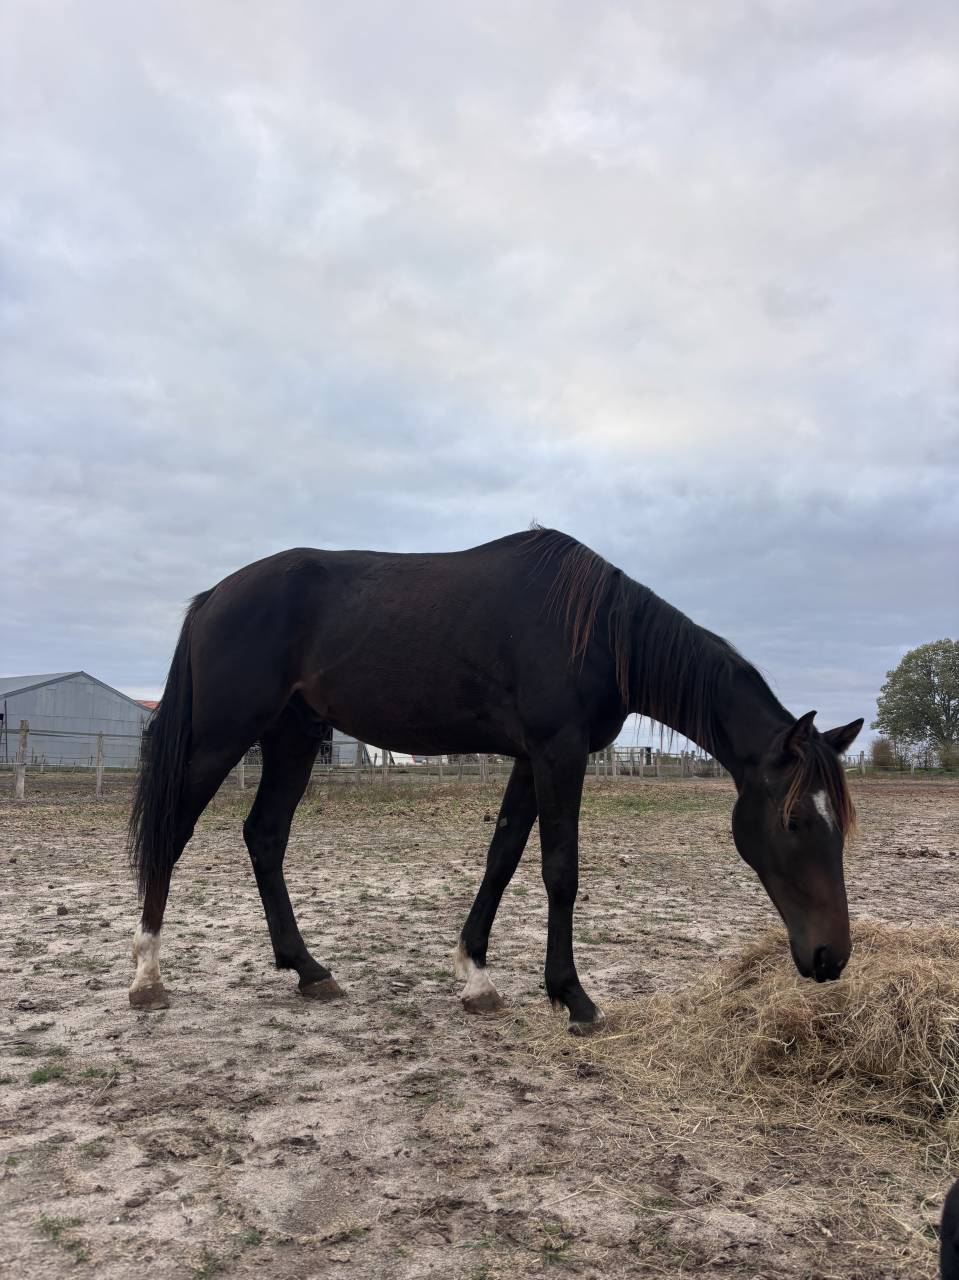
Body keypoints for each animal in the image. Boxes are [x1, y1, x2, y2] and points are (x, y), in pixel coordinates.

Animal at [128, 527, 862, 1032]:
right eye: (794, 822)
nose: (830, 957)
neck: (597, 629)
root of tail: (214, 598)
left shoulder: (529, 758)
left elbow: (503, 855)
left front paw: (475, 976)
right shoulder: (558, 752)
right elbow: (559, 870)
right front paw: (572, 995)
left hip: (292, 736)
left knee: (265, 836)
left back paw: (308, 971)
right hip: (222, 735)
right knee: (173, 833)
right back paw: (147, 977)